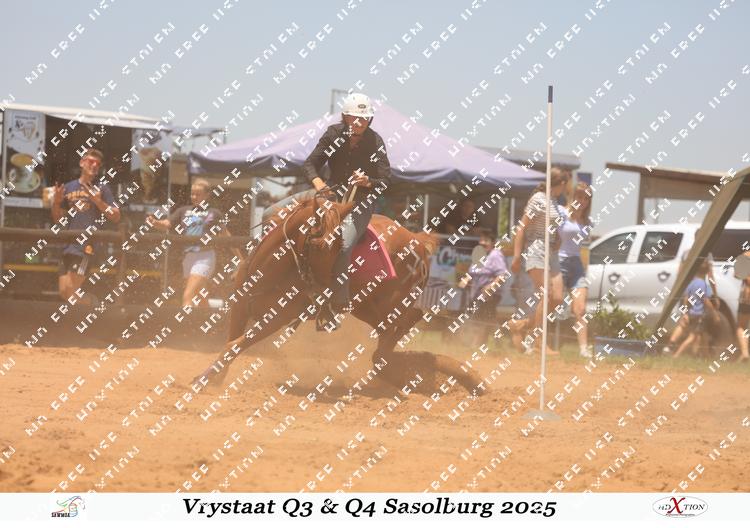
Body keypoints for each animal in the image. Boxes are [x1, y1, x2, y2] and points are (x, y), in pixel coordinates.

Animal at [192, 193, 486, 396]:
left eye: (340, 247)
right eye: (317, 245)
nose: (322, 292)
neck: (271, 270)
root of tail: (417, 241)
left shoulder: (278, 318)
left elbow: (235, 344)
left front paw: (202, 380)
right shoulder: (240, 305)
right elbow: (231, 343)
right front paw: (213, 379)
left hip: (391, 303)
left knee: (405, 324)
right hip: (366, 307)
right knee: (391, 336)